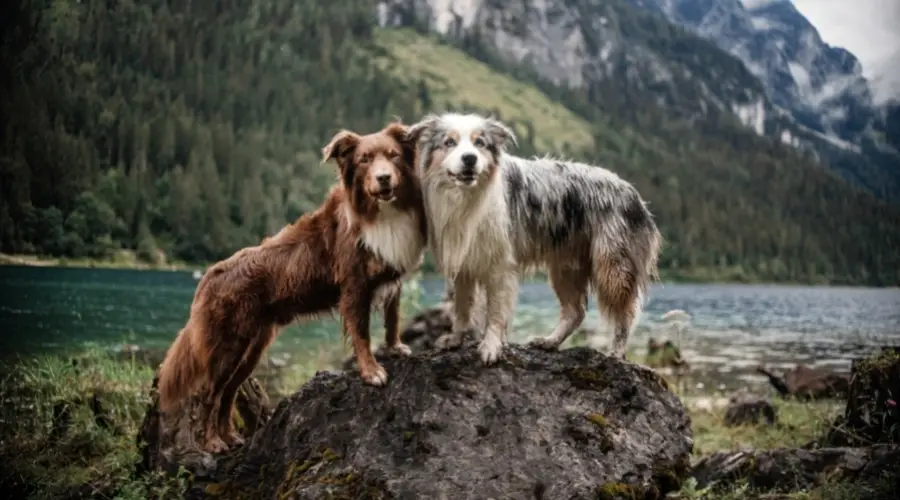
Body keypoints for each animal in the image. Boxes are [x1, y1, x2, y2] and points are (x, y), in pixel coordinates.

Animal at [156, 122, 428, 454]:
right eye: (364, 160)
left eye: (393, 156)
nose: (384, 178)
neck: (379, 214)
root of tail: (211, 274)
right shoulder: (354, 284)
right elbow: (362, 333)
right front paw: (372, 371)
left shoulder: (392, 276)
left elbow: (393, 316)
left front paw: (395, 347)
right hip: (228, 346)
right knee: (210, 393)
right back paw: (212, 443)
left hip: (252, 348)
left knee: (229, 392)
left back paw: (230, 437)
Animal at [408, 112, 660, 364]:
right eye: (449, 142)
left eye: (480, 143)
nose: (470, 159)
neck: (468, 196)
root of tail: (633, 193)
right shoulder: (465, 264)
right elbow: (462, 308)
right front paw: (456, 338)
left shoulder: (501, 265)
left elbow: (495, 312)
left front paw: (491, 346)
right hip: (566, 266)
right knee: (575, 312)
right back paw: (550, 342)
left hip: (612, 265)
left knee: (625, 313)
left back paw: (617, 352)